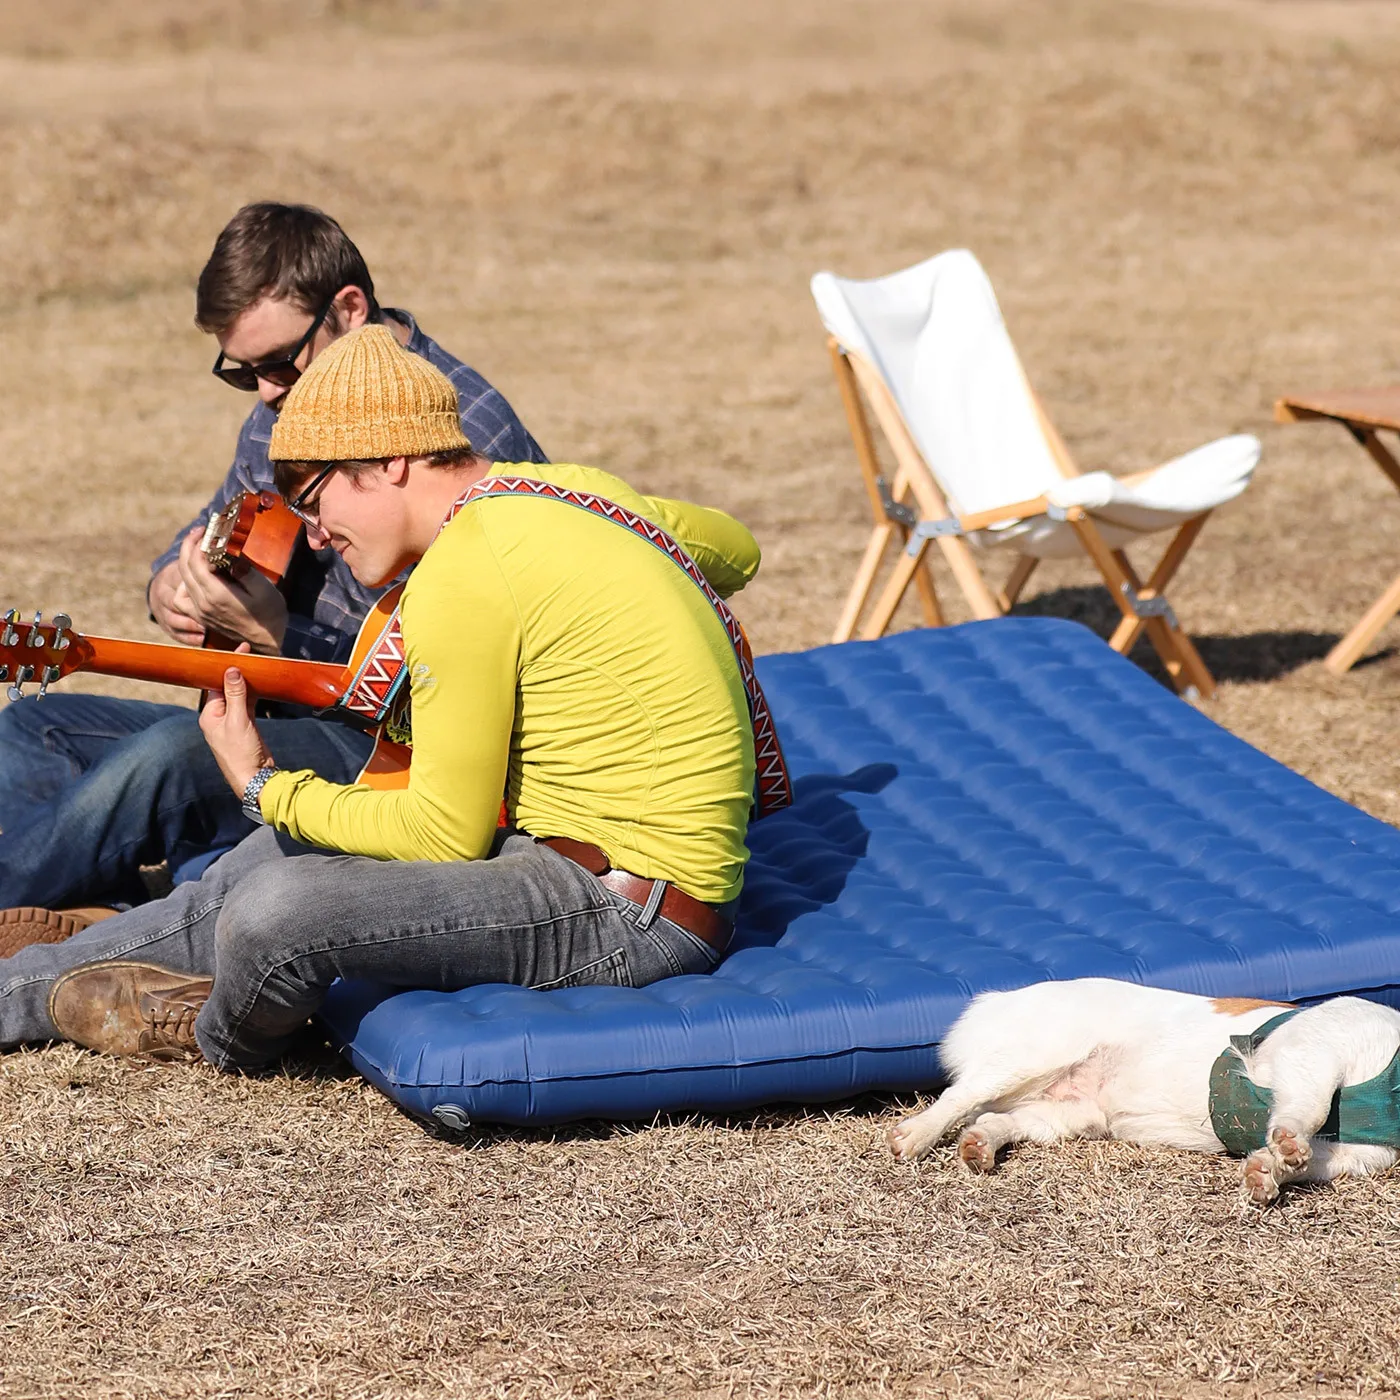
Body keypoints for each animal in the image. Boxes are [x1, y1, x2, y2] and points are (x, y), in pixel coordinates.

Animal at [884, 980, 1400, 1198]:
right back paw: (914, 1136)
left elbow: (1314, 1161)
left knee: (994, 1119)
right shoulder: (1316, 1050)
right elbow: (1308, 1111)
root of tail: (995, 1001)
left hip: (1069, 1116)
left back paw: (979, 1146)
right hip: (1033, 1053)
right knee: (959, 1096)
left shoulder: (1364, 1154)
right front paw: (1287, 1146)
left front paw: (1267, 1172)